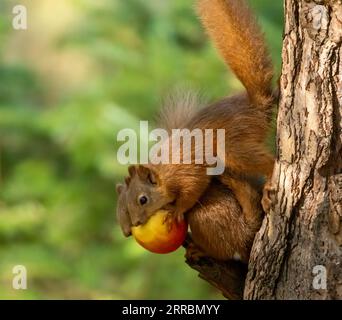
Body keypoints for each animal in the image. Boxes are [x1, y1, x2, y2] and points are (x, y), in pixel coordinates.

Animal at [115, 0, 276, 262]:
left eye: (143, 199)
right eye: (120, 208)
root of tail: (257, 104)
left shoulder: (187, 173)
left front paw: (176, 211)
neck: (163, 172)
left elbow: (193, 190)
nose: (132, 228)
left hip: (232, 149)